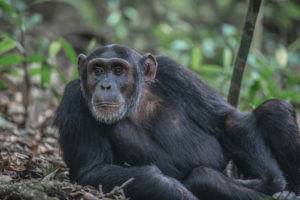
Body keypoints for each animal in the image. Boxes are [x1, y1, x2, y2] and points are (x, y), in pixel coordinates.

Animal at [55, 44, 300, 200]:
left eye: (117, 69)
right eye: (97, 69)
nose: (105, 85)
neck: (138, 99)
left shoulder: (174, 71)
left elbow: (225, 120)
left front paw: (270, 181)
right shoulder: (73, 98)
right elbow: (92, 170)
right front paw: (170, 187)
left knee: (275, 109)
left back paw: (288, 192)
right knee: (206, 177)